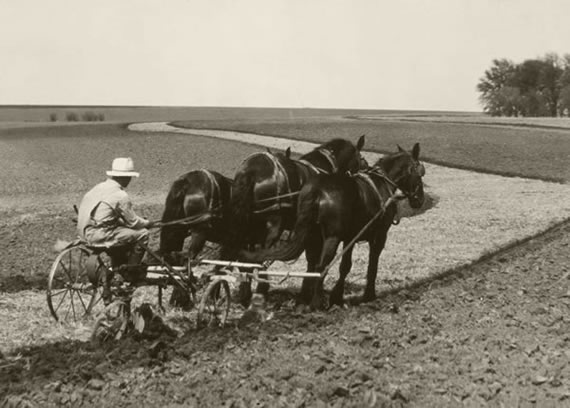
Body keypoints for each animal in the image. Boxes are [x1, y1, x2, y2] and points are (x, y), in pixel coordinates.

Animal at [242, 143, 424, 310]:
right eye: (420, 172)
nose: (420, 199)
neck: (380, 182)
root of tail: (318, 190)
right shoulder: (379, 235)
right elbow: (372, 264)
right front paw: (368, 295)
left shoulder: (350, 237)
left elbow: (345, 265)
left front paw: (336, 296)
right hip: (329, 237)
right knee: (321, 265)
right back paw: (315, 301)